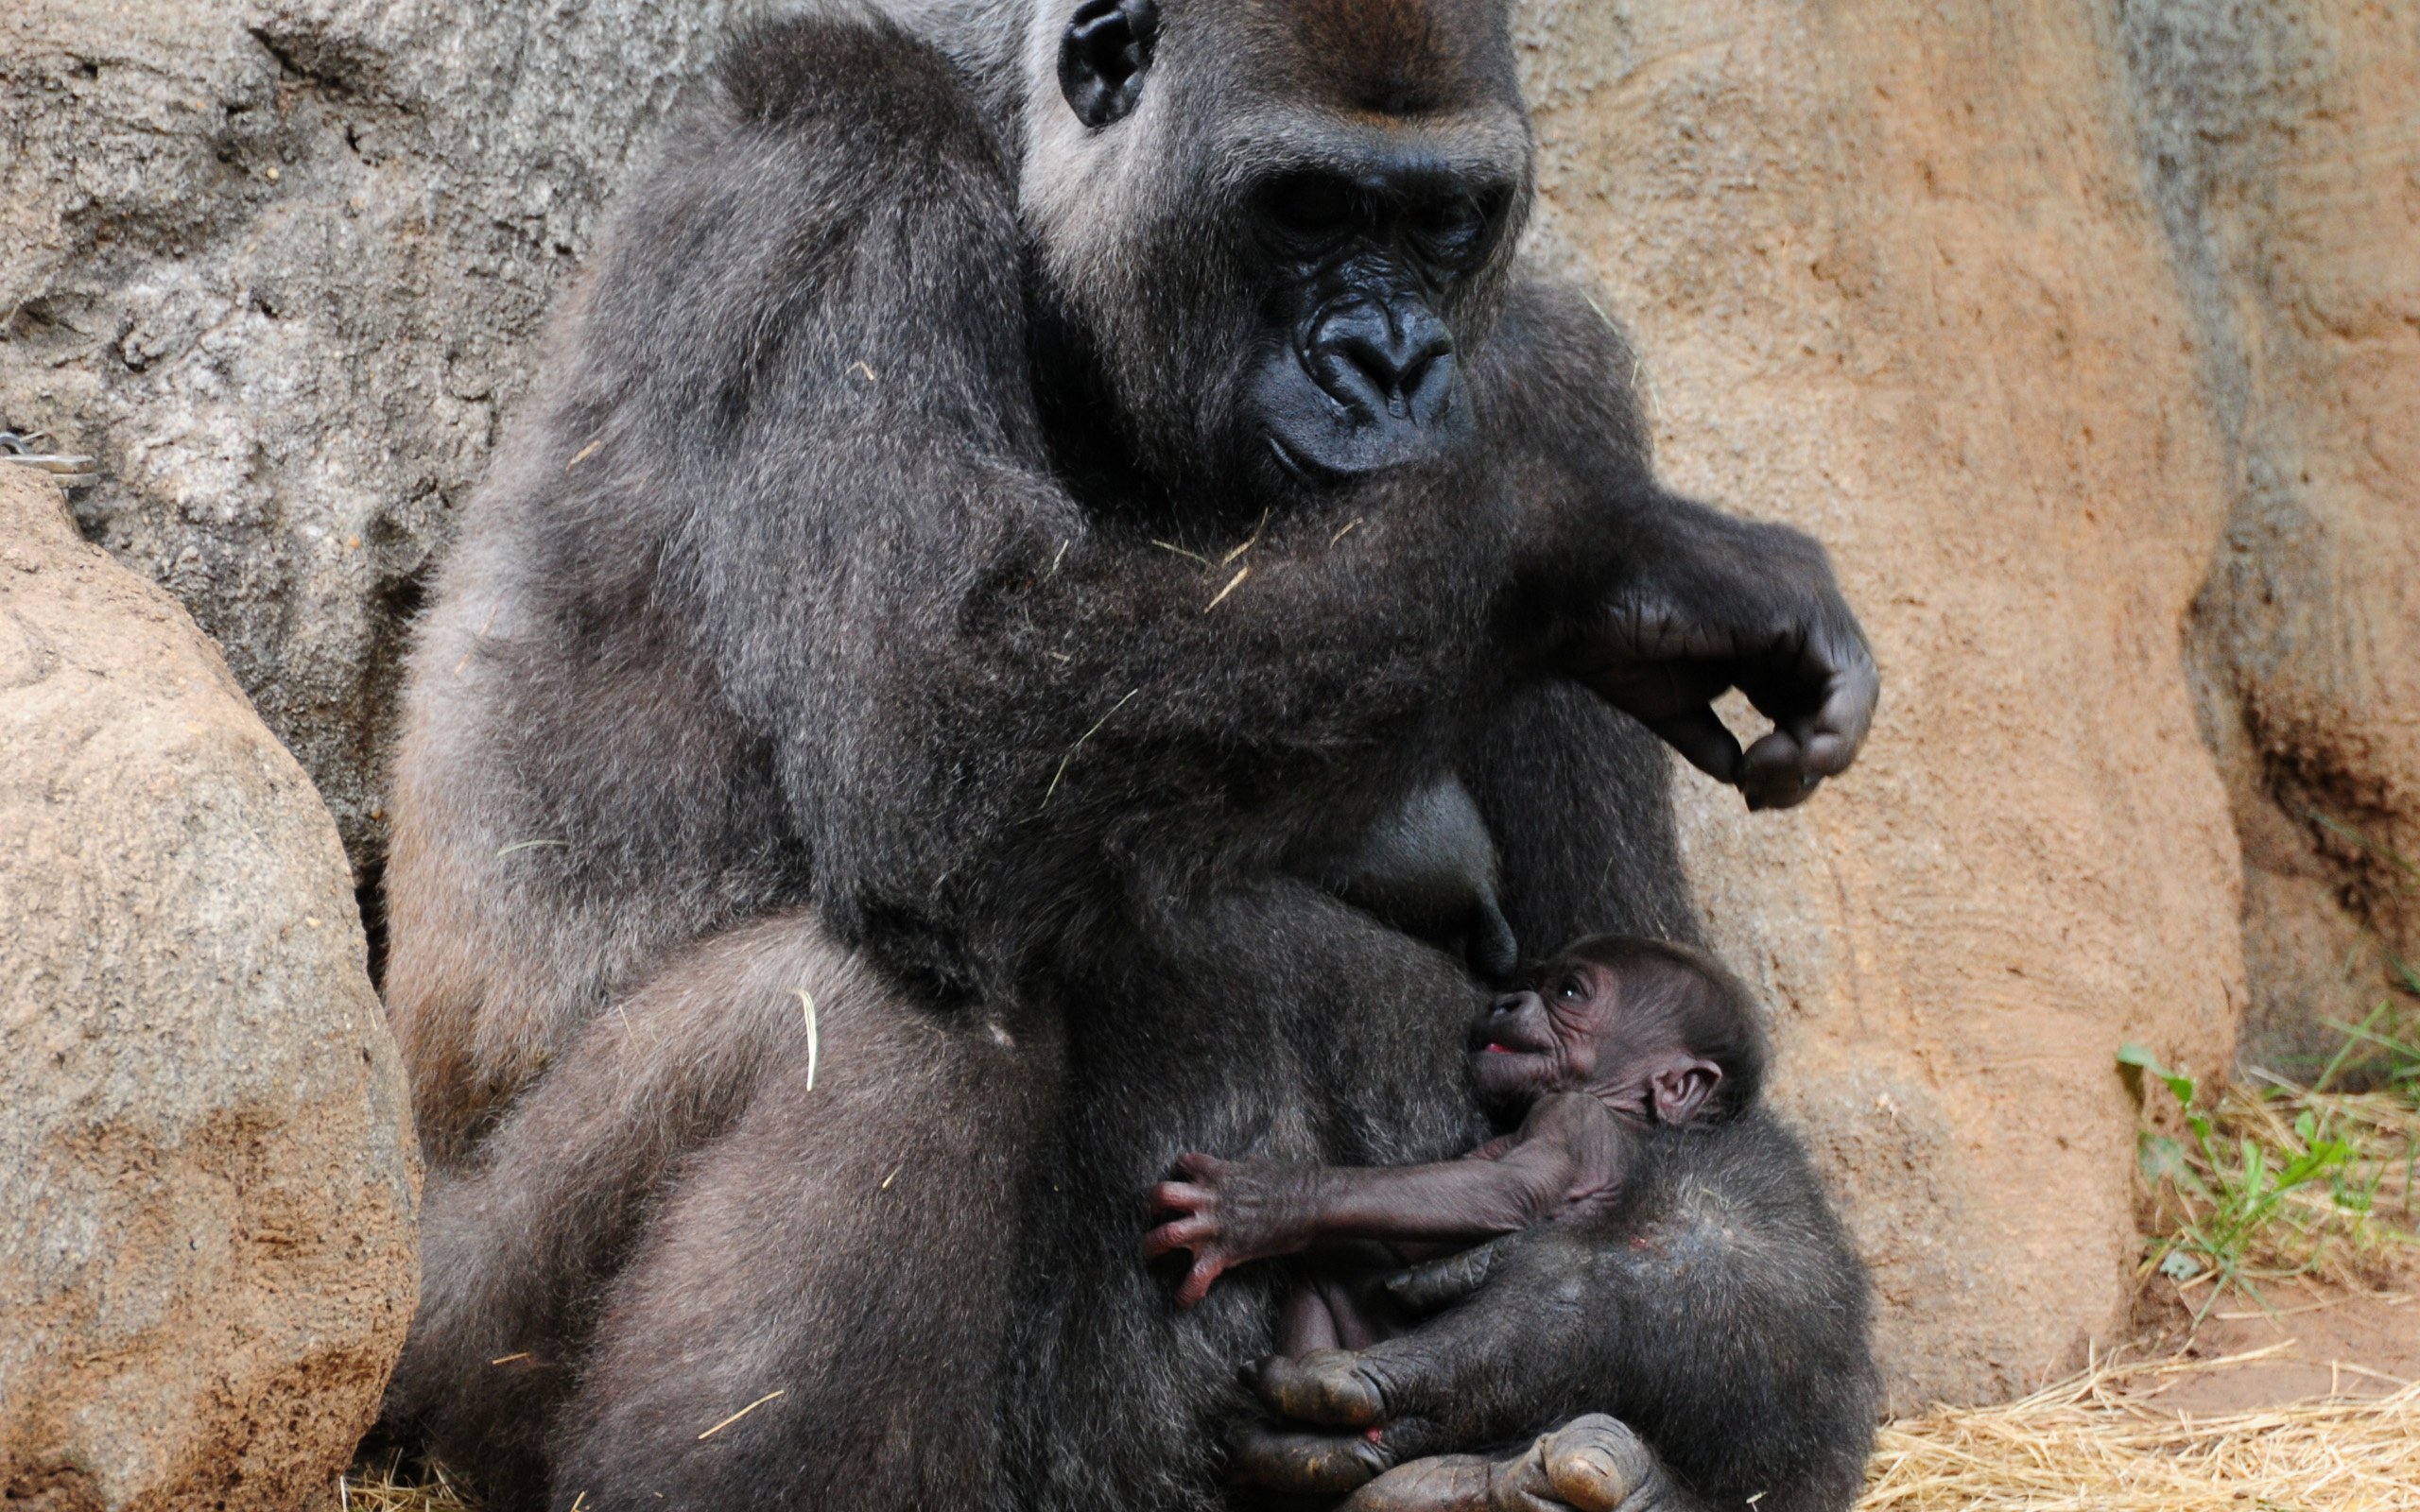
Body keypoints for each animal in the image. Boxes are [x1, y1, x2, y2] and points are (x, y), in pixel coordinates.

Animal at [1142, 934, 1771, 1345]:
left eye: (1569, 993)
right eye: (1530, 984)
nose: (1505, 1001)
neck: (1626, 1109)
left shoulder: (1573, 1117)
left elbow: (1510, 1189)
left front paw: (1264, 1204)